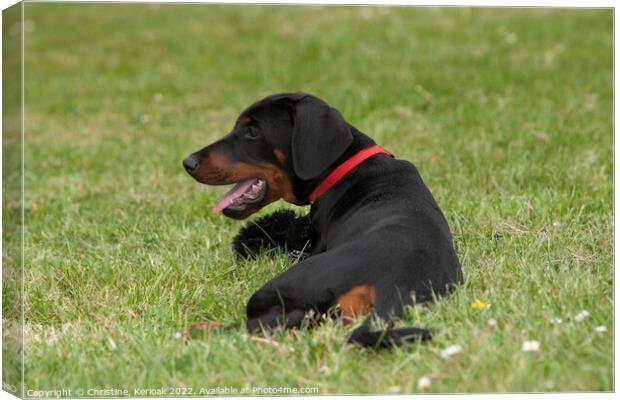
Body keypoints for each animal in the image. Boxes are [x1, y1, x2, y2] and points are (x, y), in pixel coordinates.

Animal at [182, 92, 462, 346]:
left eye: (252, 131)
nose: (188, 162)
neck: (345, 167)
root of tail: (394, 288)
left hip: (281, 285)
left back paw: (197, 329)